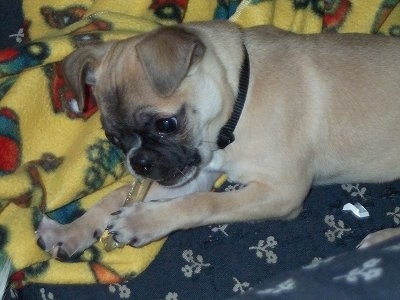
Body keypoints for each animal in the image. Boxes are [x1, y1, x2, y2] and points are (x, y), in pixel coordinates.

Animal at [36, 21, 398, 260]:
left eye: (166, 124)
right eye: (112, 138)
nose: (139, 162)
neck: (241, 96)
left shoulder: (281, 192)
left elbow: (204, 203)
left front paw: (142, 220)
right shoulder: (195, 174)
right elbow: (115, 196)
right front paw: (71, 231)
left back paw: (381, 239)